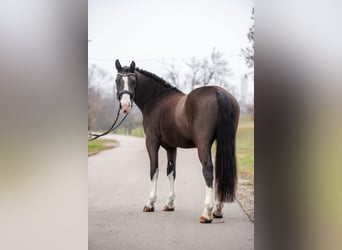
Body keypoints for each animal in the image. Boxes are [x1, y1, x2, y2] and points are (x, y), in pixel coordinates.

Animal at [114, 60, 238, 223]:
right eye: (117, 80)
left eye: (133, 81)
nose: (125, 106)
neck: (157, 100)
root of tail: (219, 92)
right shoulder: (171, 147)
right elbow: (171, 172)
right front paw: (169, 203)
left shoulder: (151, 142)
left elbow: (154, 170)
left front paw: (150, 203)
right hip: (224, 142)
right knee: (220, 170)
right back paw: (218, 210)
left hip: (203, 145)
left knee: (208, 170)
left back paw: (207, 213)